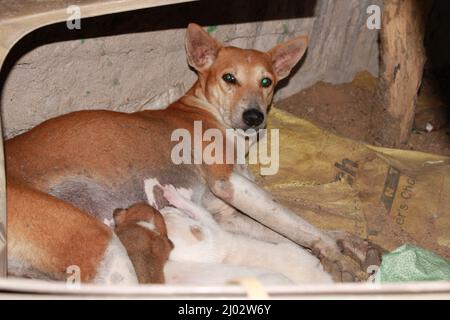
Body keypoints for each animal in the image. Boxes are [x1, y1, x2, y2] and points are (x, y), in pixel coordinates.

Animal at [5, 23, 378, 282]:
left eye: (267, 81)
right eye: (229, 78)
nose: (254, 117)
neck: (206, 110)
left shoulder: (226, 213)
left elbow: (292, 227)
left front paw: (345, 242)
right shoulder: (231, 185)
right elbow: (297, 221)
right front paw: (334, 253)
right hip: (101, 244)